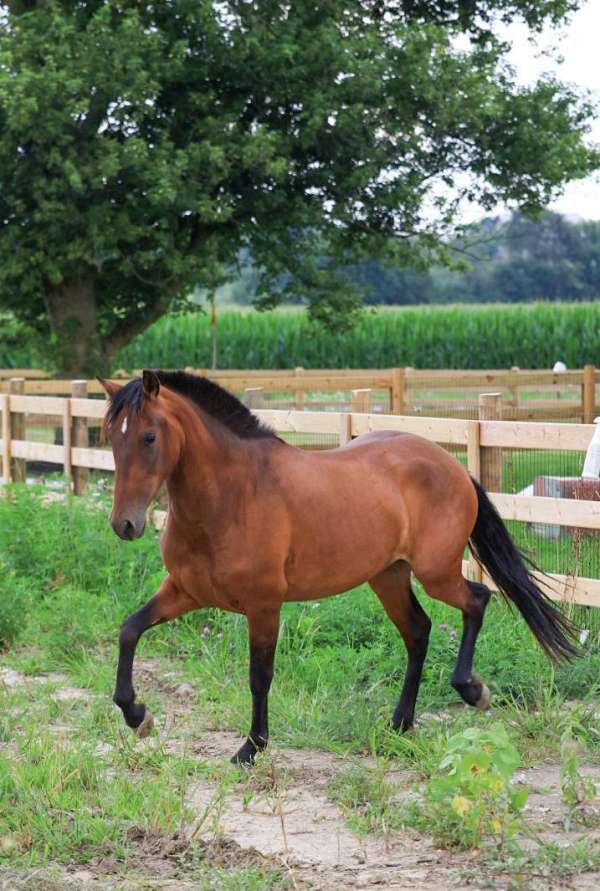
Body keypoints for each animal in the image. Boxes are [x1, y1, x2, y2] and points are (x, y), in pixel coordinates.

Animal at [98, 370, 576, 768]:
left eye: (149, 437)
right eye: (110, 436)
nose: (125, 525)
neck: (232, 495)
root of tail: (451, 465)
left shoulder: (264, 605)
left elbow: (259, 677)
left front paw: (251, 749)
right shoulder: (184, 591)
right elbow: (128, 629)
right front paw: (137, 715)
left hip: (435, 572)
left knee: (477, 600)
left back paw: (471, 690)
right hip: (388, 575)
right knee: (418, 630)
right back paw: (400, 723)